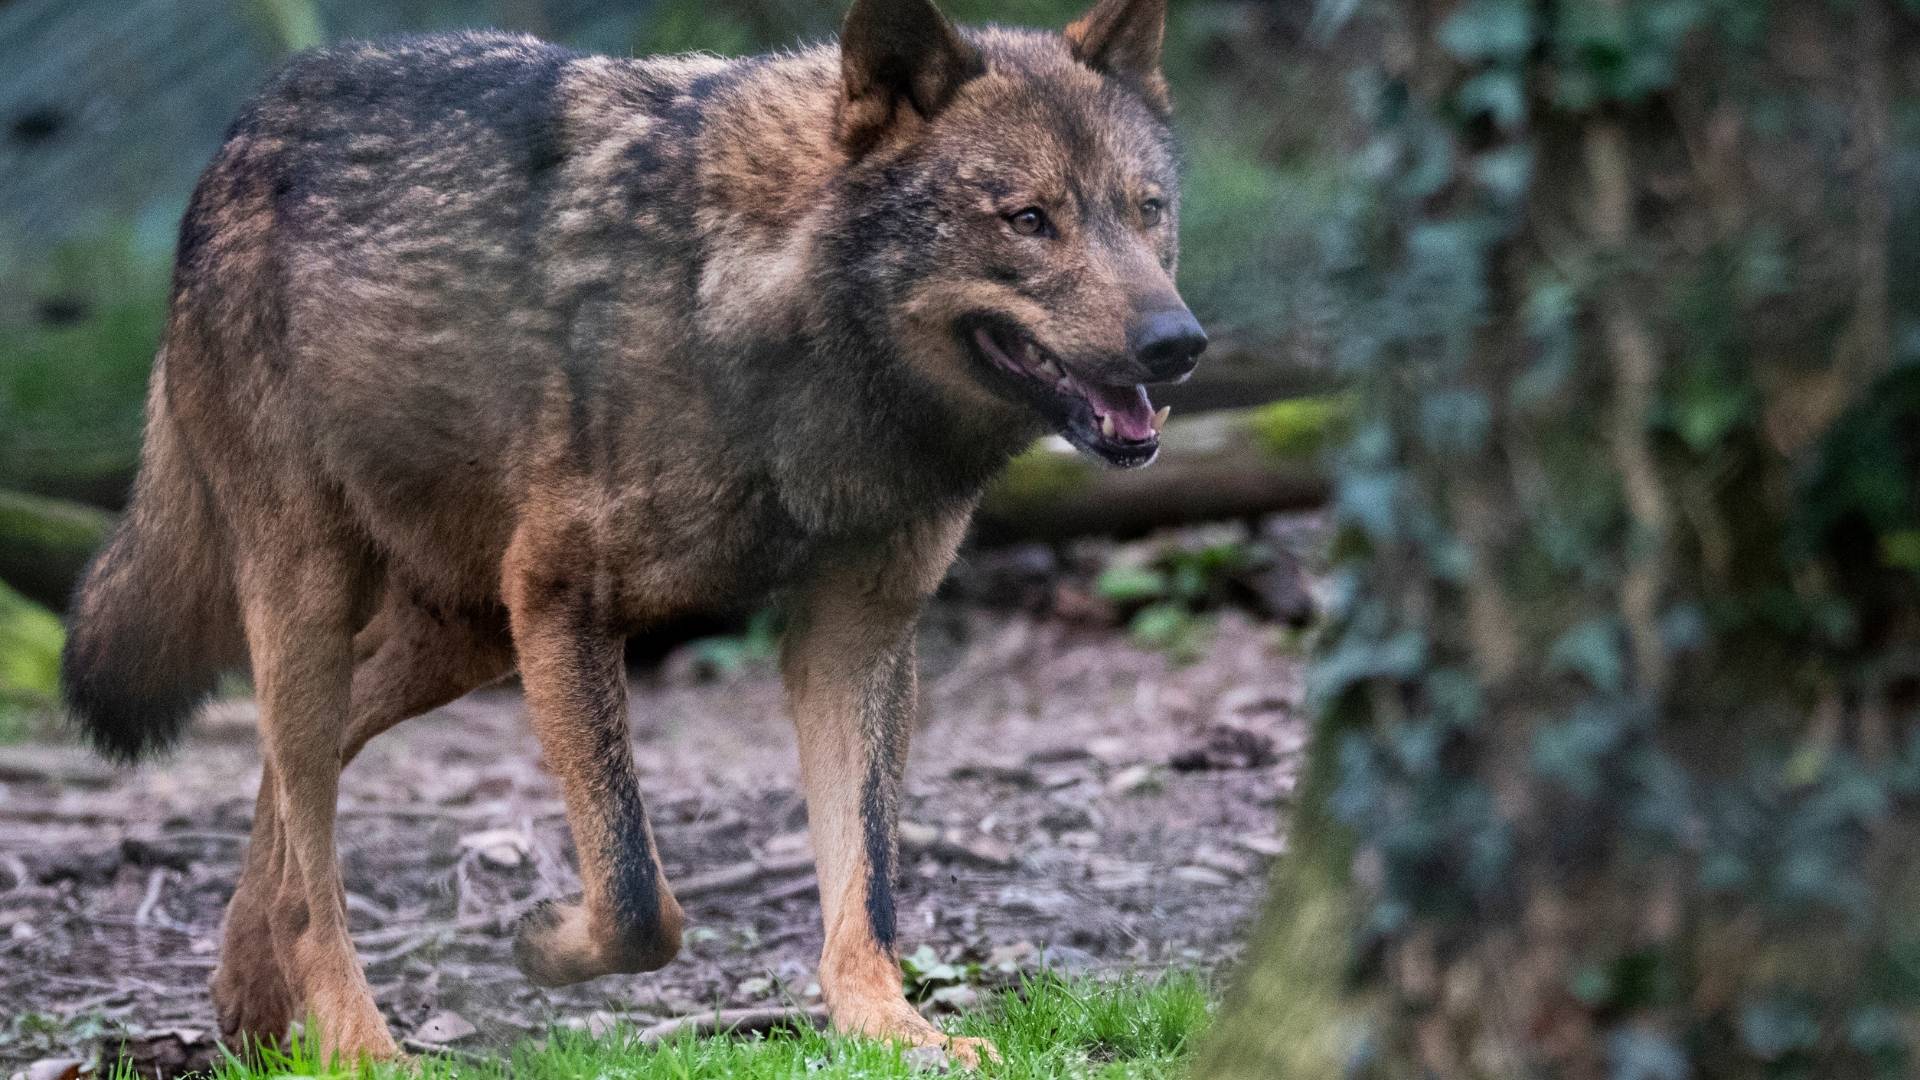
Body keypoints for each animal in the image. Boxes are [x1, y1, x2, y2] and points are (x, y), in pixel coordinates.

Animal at [59, 0, 1204, 1062]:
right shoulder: (564, 602)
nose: (1179, 343)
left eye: (1147, 212)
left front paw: (890, 1030)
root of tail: (246, 127)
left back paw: (251, 1002)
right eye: (1029, 219)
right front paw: (543, 941)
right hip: (321, 599)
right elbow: (638, 899)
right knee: (310, 851)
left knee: (291, 787)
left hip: (462, 636)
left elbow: (866, 882)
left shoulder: (857, 632)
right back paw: (358, 1048)